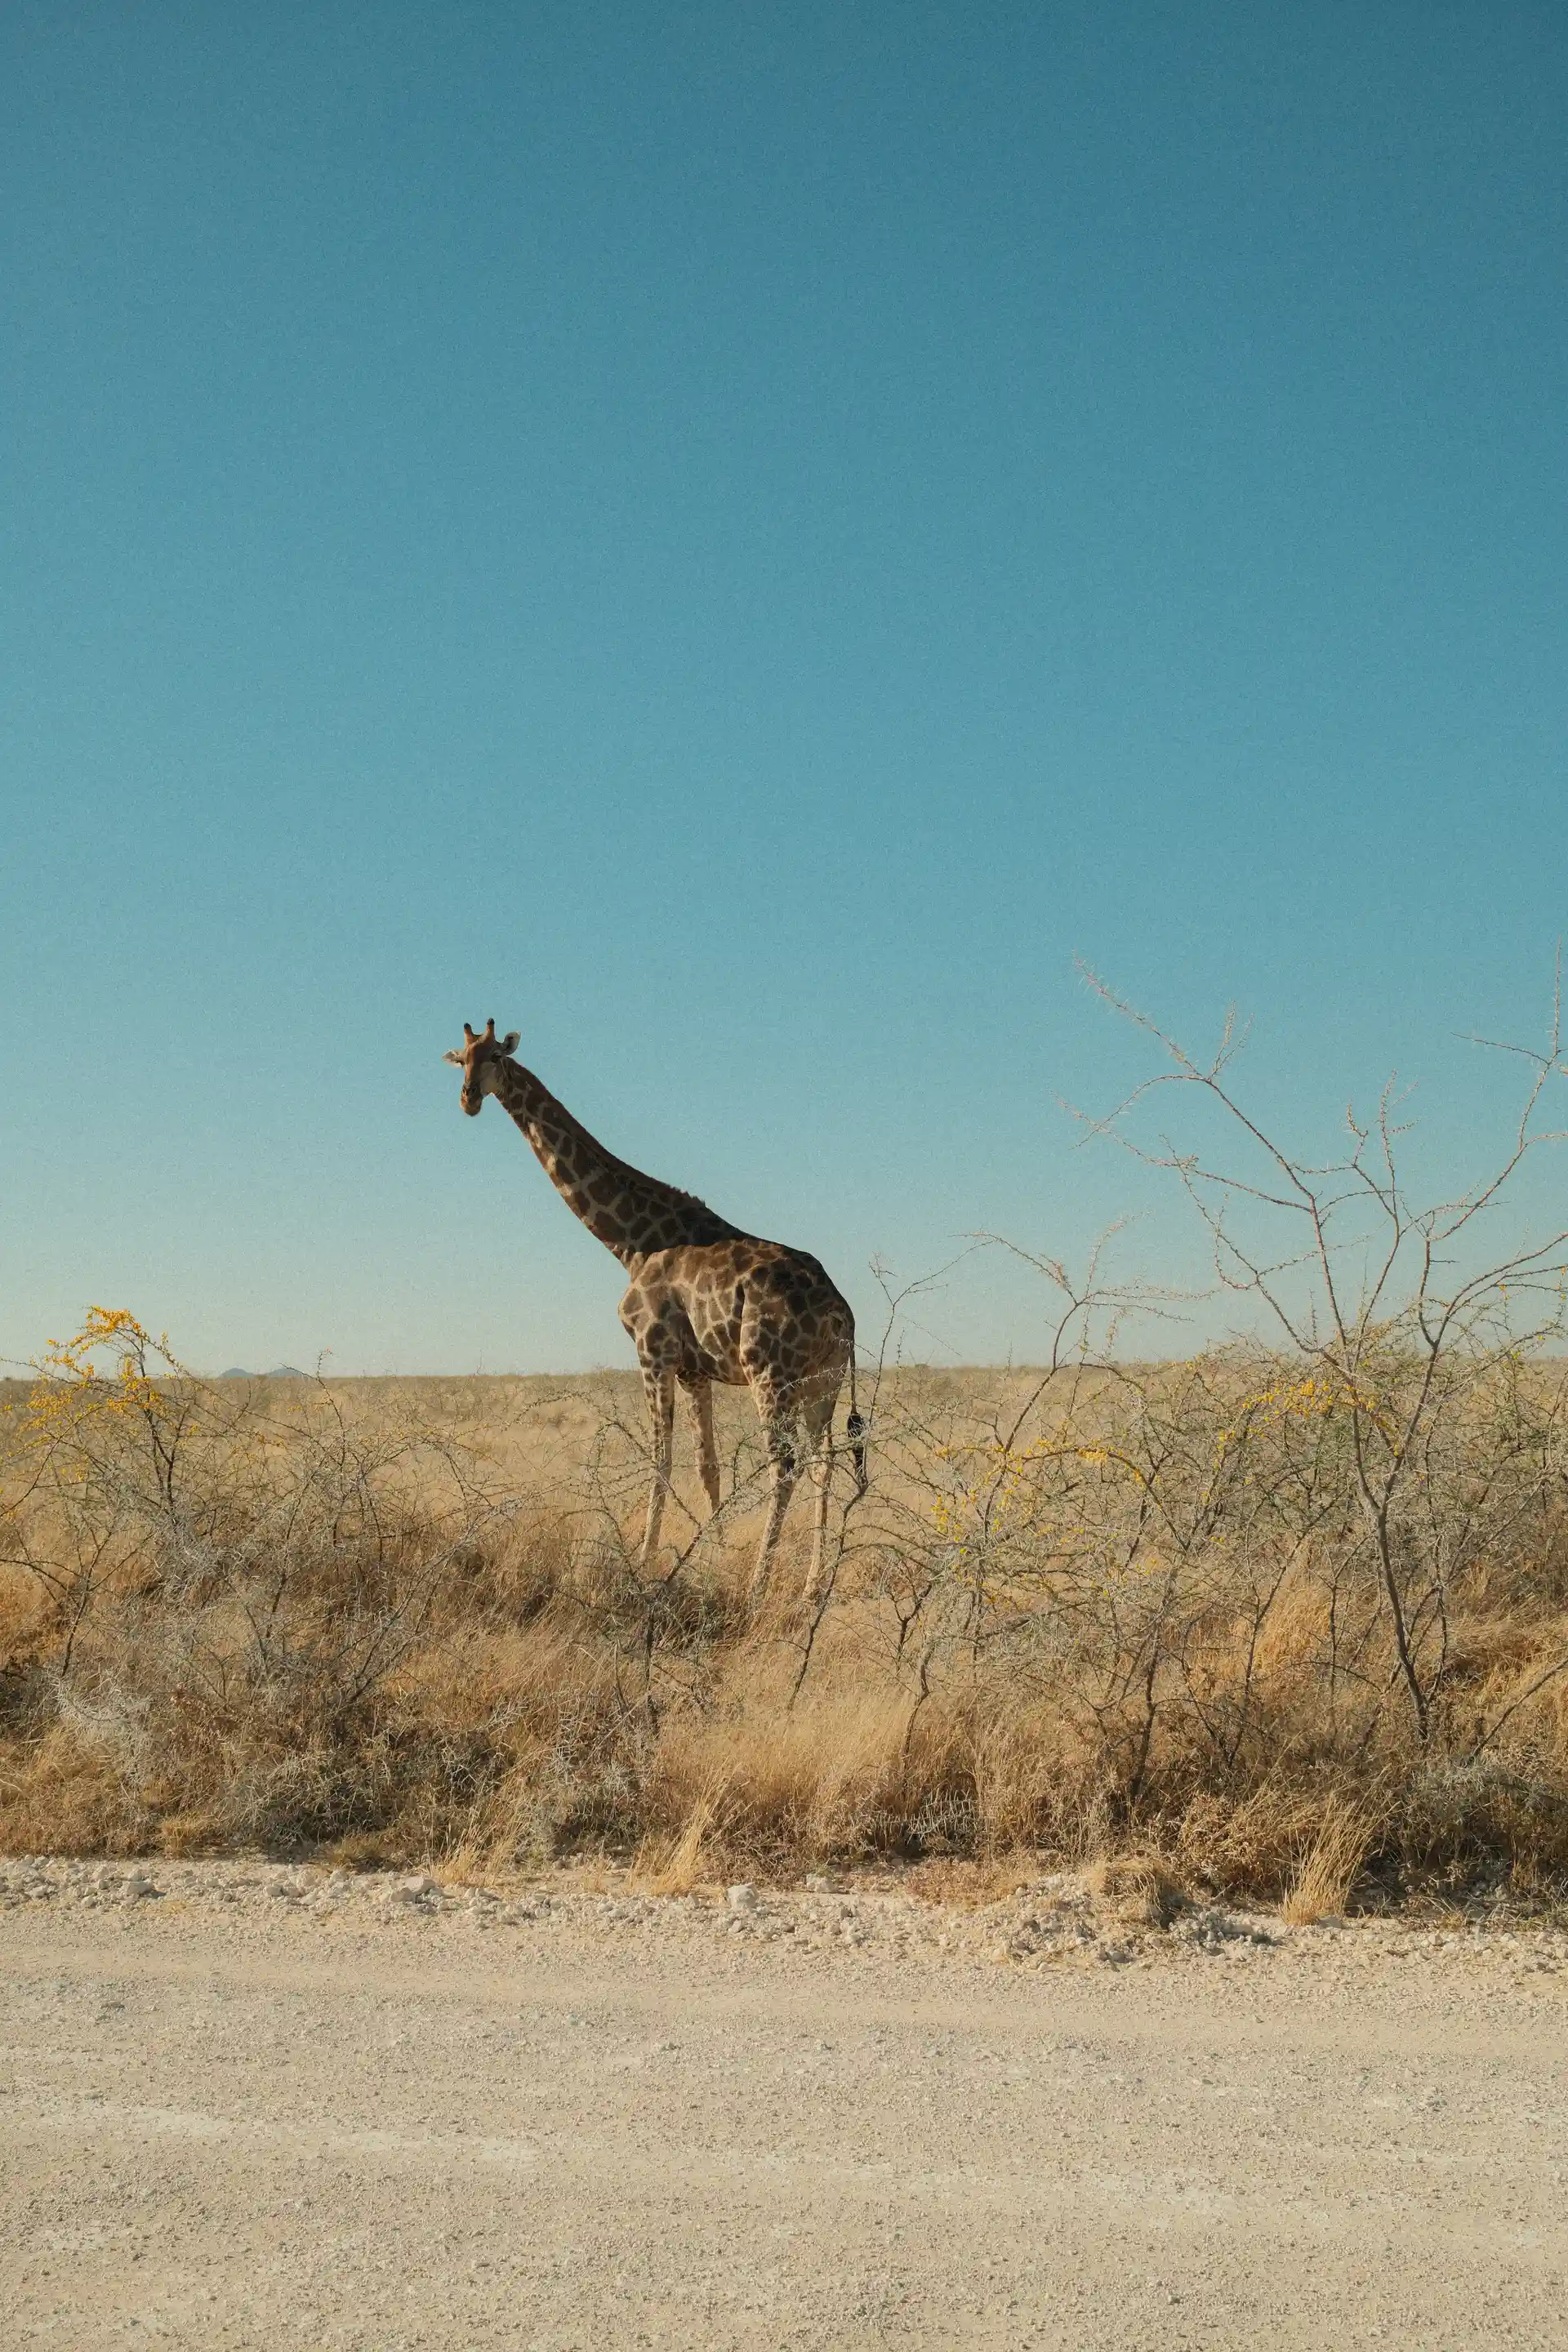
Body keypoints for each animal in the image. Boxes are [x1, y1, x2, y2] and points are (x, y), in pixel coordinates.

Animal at [443, 1021, 865, 1607]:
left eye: (496, 1058)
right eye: (461, 1059)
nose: (468, 1100)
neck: (629, 1241)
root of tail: (841, 1311)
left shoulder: (653, 1350)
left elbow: (658, 1459)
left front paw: (644, 1562)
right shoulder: (694, 1369)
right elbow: (706, 1464)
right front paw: (711, 1553)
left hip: (770, 1371)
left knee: (784, 1465)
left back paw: (759, 1584)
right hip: (822, 1380)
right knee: (824, 1464)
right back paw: (811, 1586)